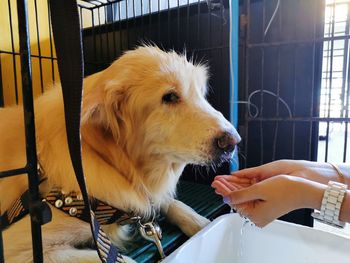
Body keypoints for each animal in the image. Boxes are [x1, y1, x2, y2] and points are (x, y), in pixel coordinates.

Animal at [0, 46, 241, 262]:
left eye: (201, 94)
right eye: (170, 97)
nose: (233, 142)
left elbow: (167, 203)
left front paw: (203, 225)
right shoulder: (22, 247)